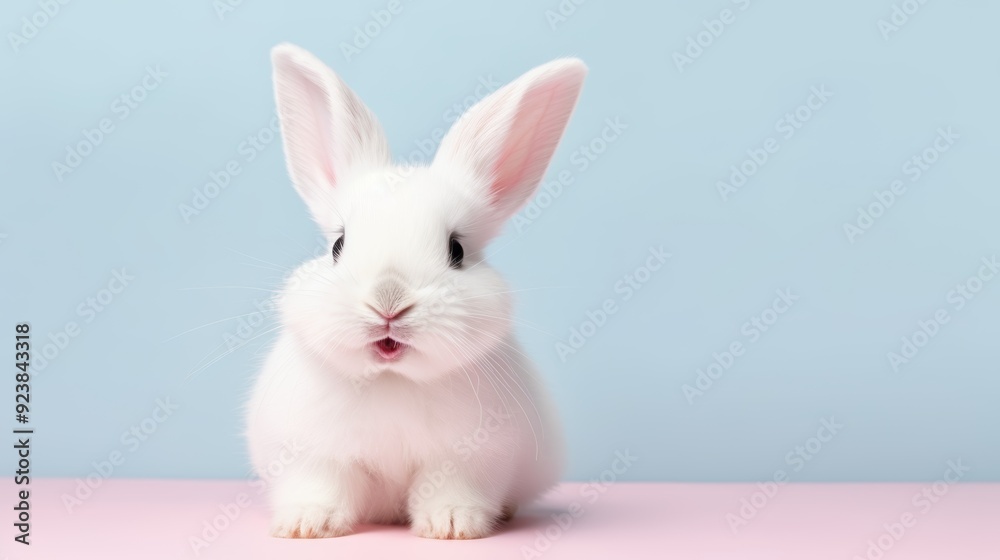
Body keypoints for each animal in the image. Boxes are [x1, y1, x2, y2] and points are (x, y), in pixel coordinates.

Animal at [245, 43, 587, 540]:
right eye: (337, 245)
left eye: (456, 250)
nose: (389, 302)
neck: (393, 380)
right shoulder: (313, 456)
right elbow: (321, 487)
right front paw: (307, 525)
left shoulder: (470, 458)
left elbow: (451, 489)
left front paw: (453, 526)